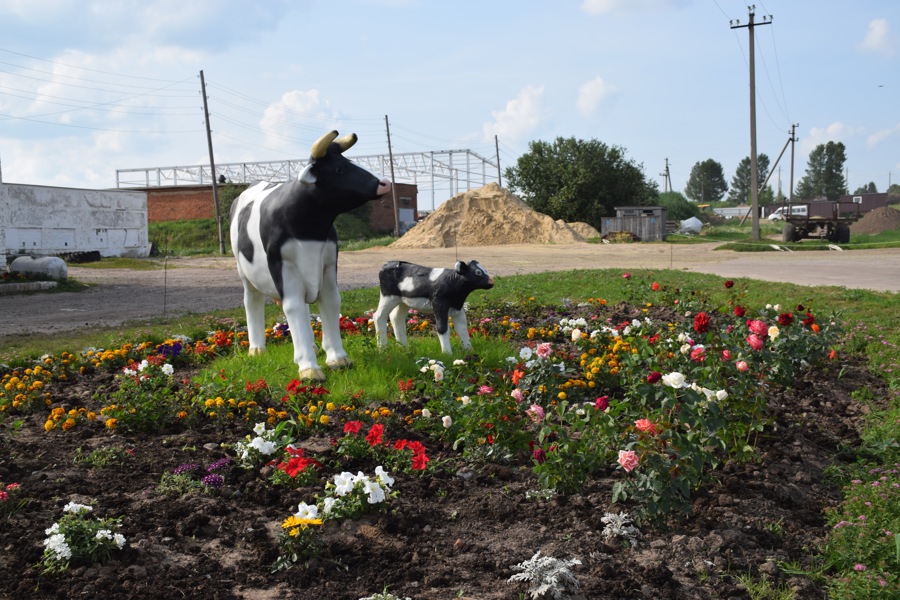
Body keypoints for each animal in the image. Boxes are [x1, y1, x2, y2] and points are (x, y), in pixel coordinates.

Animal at [229, 131, 390, 380]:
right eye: (339, 169)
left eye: (348, 162)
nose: (384, 183)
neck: (310, 227)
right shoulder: (282, 267)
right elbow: (293, 307)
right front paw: (309, 368)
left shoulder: (328, 265)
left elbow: (331, 302)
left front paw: (337, 358)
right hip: (244, 272)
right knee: (252, 301)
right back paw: (257, 349)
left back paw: (311, 345)